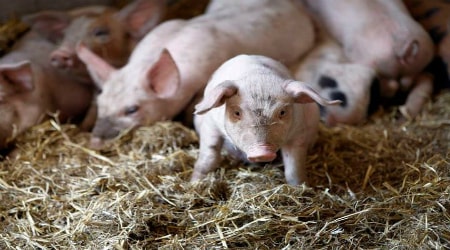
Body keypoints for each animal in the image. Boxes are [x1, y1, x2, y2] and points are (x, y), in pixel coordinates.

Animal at [191, 56, 342, 186]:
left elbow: (294, 168)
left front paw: (301, 188)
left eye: (282, 112)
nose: (262, 152)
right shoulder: (210, 125)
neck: (258, 77)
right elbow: (209, 158)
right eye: (237, 113)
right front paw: (194, 182)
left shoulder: (299, 132)